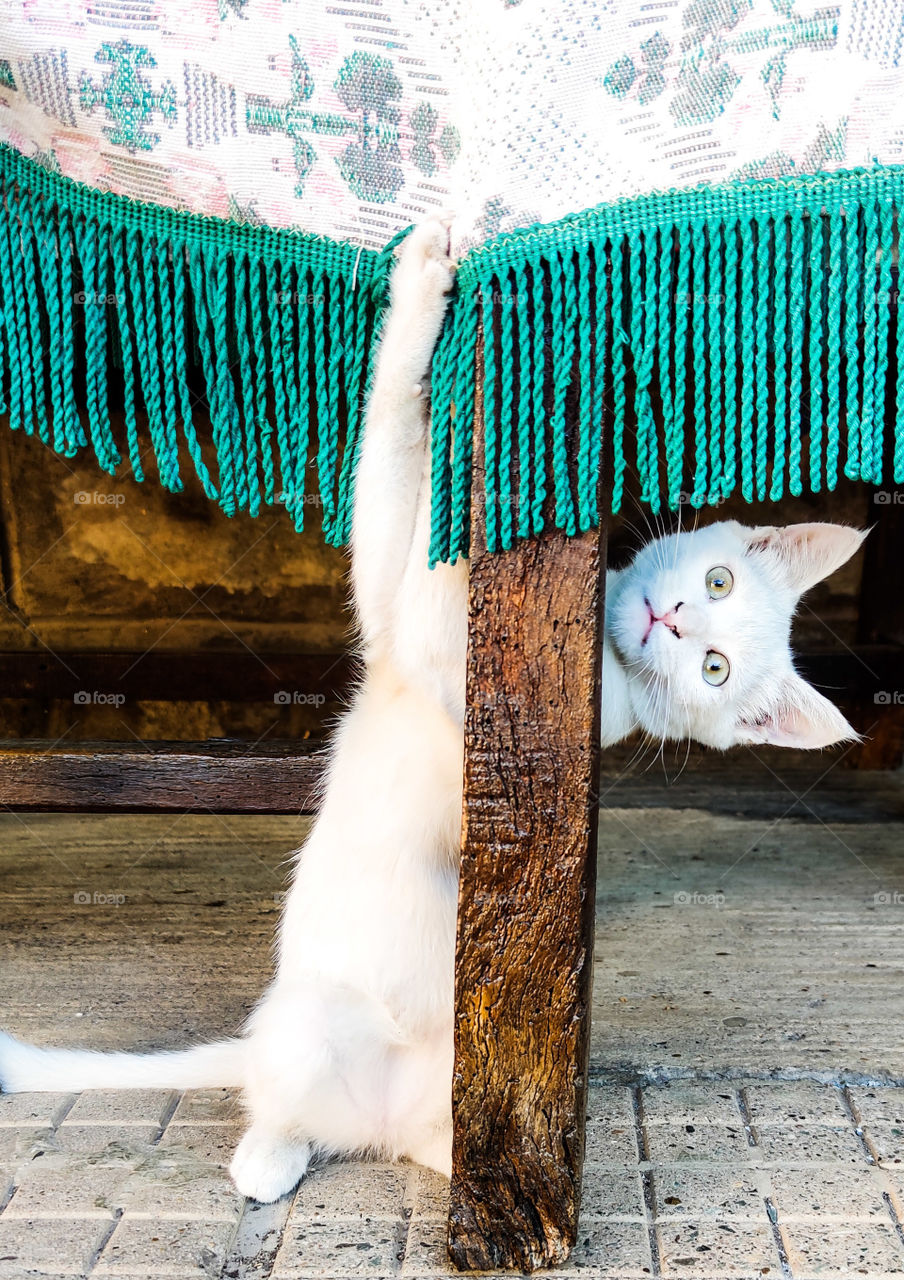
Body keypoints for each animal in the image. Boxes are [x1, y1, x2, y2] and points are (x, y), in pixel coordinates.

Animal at [0, 215, 860, 1203]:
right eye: (717, 581)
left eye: (714, 670)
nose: (674, 618)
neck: (600, 648)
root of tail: (386, 1121)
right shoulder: (408, 631)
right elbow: (397, 496)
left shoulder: (460, 658)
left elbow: (410, 525)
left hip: (330, 1031)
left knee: (292, 1112)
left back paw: (286, 1161)